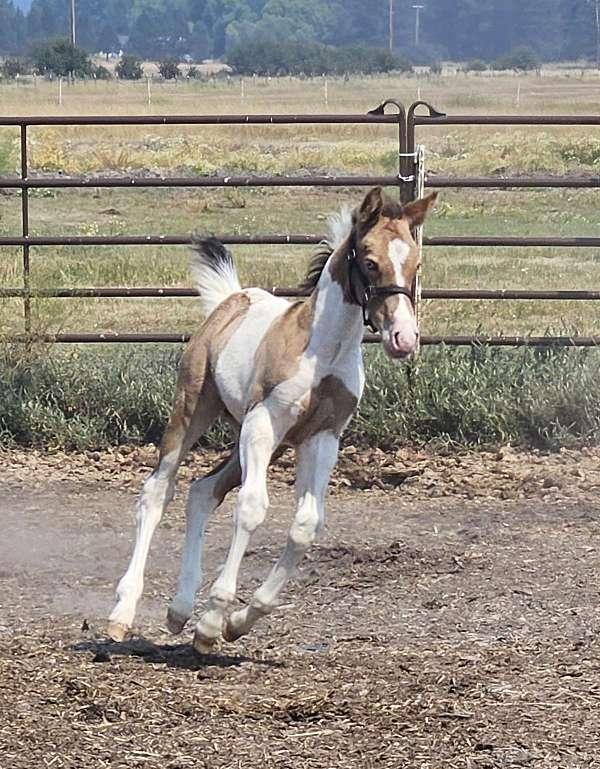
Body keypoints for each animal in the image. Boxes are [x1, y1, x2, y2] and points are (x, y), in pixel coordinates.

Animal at [107, 186, 437, 653]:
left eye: (416, 263)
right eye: (371, 261)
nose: (404, 339)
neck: (323, 352)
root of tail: (232, 299)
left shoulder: (322, 438)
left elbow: (305, 525)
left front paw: (237, 621)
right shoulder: (264, 423)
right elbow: (252, 508)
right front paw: (213, 619)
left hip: (261, 440)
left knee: (202, 492)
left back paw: (179, 610)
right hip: (196, 411)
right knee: (158, 491)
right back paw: (122, 613)